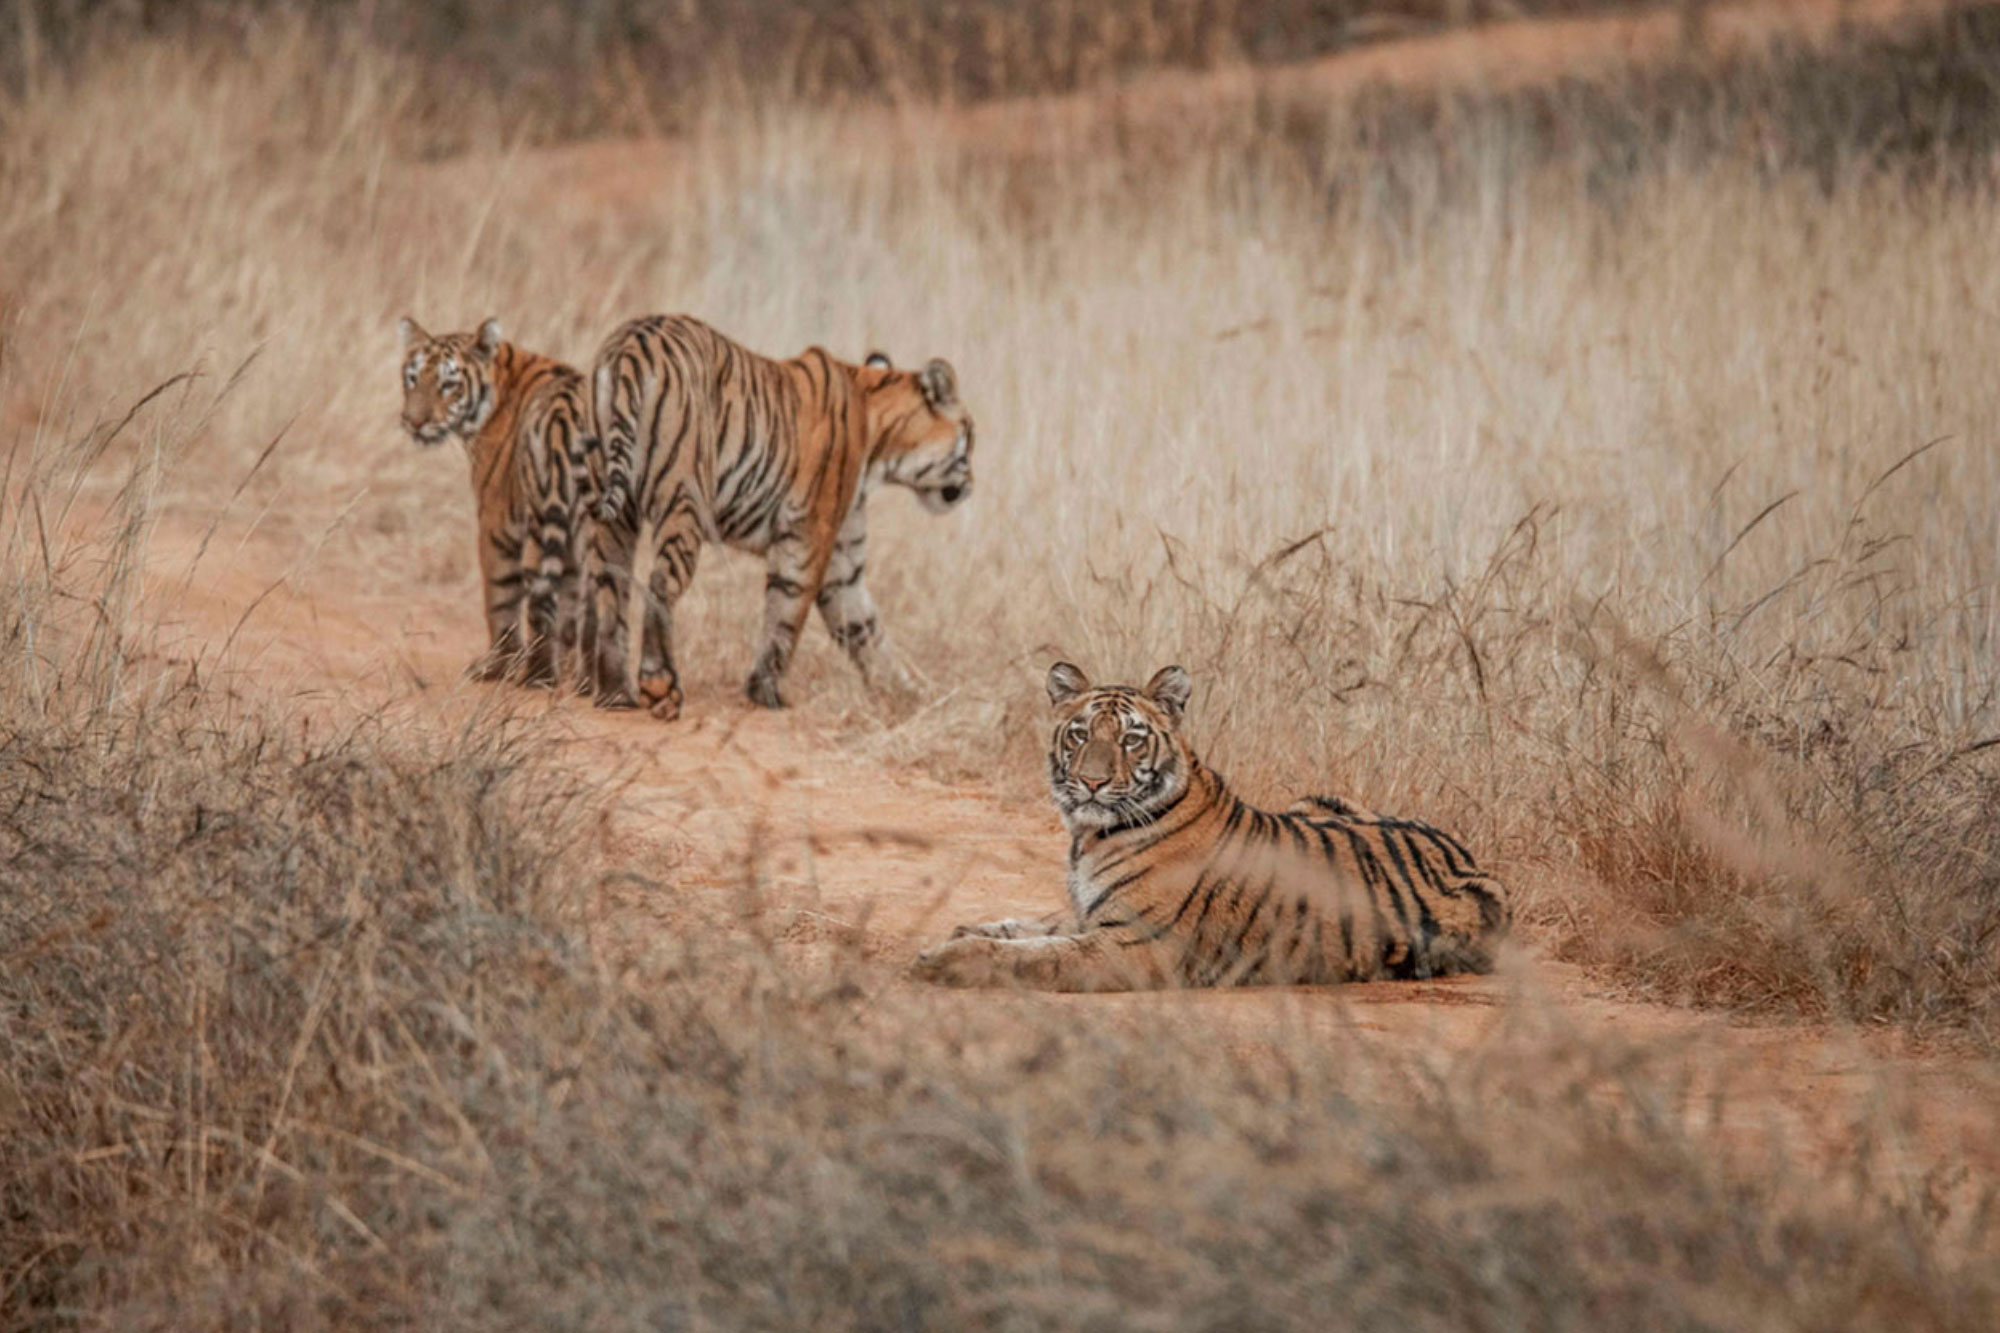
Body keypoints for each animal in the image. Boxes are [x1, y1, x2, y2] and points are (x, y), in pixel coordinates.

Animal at [396, 314, 596, 684]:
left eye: (448, 385)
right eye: (412, 378)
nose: (414, 423)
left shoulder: (496, 521)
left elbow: (499, 598)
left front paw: (497, 666)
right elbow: (571, 605)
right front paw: (569, 670)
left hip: (541, 525)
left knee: (540, 600)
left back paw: (536, 675)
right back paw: (595, 683)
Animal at [588, 312, 972, 716]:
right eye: (971, 433)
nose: (971, 484)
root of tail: (631, 342)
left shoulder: (843, 560)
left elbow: (866, 628)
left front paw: (910, 693)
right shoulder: (809, 533)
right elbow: (788, 611)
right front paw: (767, 691)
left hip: (617, 513)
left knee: (611, 586)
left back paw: (615, 694)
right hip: (683, 496)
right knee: (661, 581)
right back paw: (660, 686)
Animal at [916, 660, 1504, 984]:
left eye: (1131, 738)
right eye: (1080, 734)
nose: (1092, 782)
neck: (1089, 837)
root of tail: (1469, 855)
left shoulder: (1137, 944)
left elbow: (1040, 957)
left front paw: (948, 959)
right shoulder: (1096, 916)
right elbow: (1044, 924)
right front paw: (970, 929)